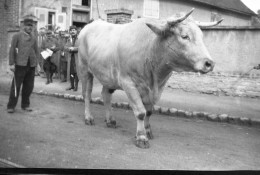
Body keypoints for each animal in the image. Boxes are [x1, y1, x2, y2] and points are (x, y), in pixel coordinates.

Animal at [76, 8, 222, 148]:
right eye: (184, 36)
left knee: (106, 95)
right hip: (84, 70)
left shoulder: (158, 87)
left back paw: (110, 120)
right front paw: (141, 137)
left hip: (108, 76)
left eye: (202, 36)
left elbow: (149, 111)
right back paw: (88, 118)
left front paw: (147, 131)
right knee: (87, 95)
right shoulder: (128, 83)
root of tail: (88, 27)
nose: (209, 63)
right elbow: (141, 112)